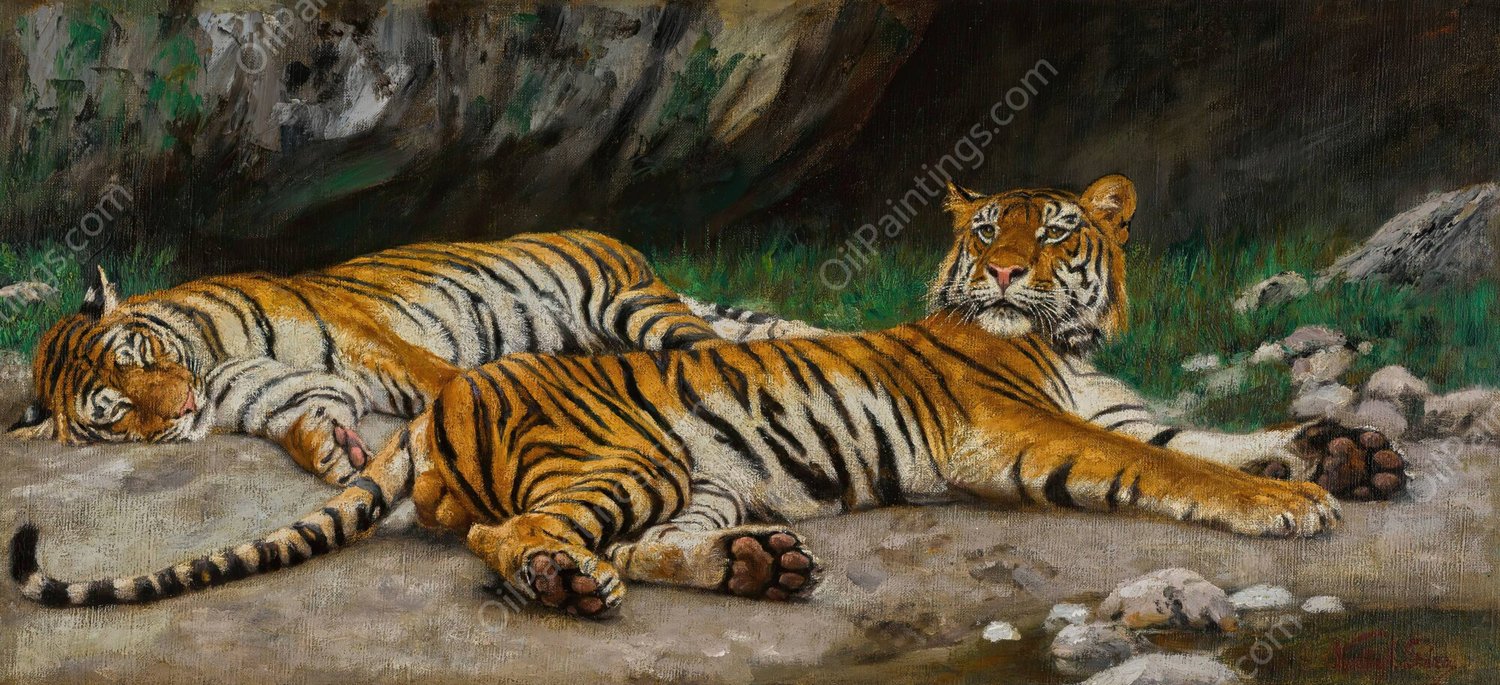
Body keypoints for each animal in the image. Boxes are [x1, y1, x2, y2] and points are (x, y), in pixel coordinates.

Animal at [6, 230, 791, 486]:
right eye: (117, 411)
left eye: (139, 352)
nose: (186, 408)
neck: (216, 363)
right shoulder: (270, 392)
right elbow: (302, 418)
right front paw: (333, 451)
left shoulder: (373, 341)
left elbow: (449, 380)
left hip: (629, 307)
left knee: (713, 347)